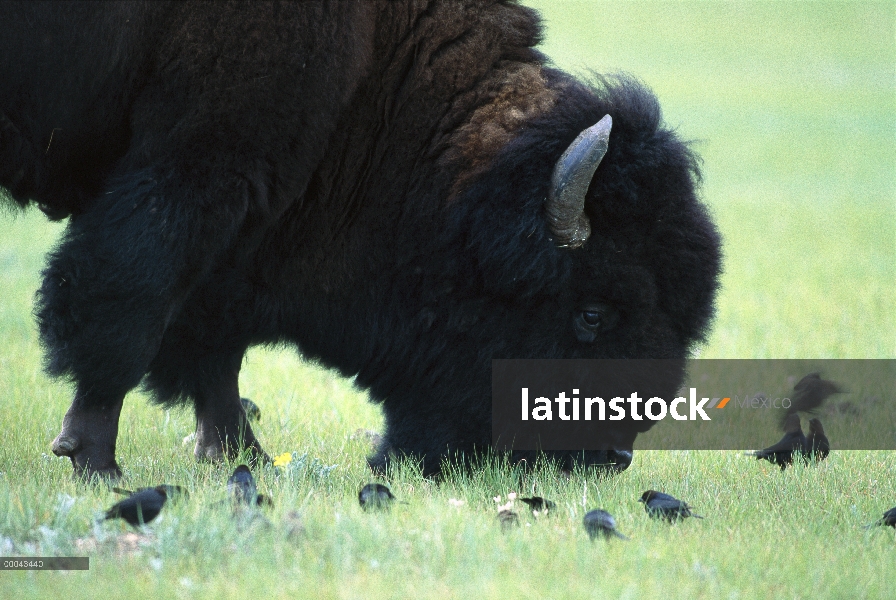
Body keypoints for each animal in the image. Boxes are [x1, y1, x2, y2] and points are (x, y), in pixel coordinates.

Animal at [1, 0, 720, 478]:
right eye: (592, 313)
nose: (611, 456)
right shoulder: (200, 169)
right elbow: (127, 305)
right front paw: (94, 460)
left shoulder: (245, 215)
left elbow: (210, 345)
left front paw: (240, 456)